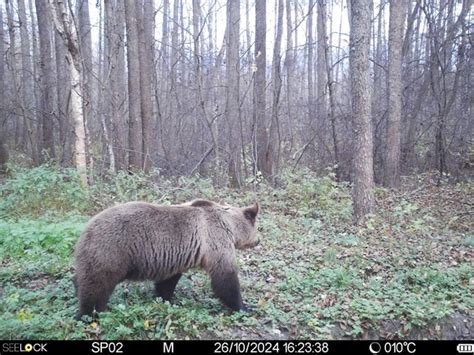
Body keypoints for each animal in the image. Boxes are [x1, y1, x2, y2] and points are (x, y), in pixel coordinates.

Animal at [73, 200, 260, 320]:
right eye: (257, 228)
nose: (258, 241)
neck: (230, 226)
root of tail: (85, 229)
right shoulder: (215, 240)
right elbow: (225, 278)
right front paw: (244, 307)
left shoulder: (177, 256)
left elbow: (168, 281)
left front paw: (165, 298)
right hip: (111, 250)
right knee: (96, 287)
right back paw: (87, 314)